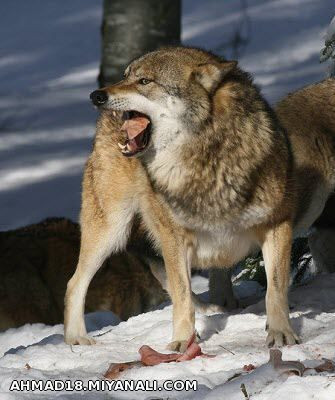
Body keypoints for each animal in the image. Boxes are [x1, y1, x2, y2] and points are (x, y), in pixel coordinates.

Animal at [65, 47, 335, 350]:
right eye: (126, 76)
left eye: (144, 81)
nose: (96, 95)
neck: (206, 157)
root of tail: (105, 122)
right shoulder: (174, 238)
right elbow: (182, 297)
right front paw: (183, 342)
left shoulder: (278, 225)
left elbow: (275, 290)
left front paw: (281, 333)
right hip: (111, 232)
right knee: (75, 283)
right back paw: (76, 338)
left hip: (311, 205)